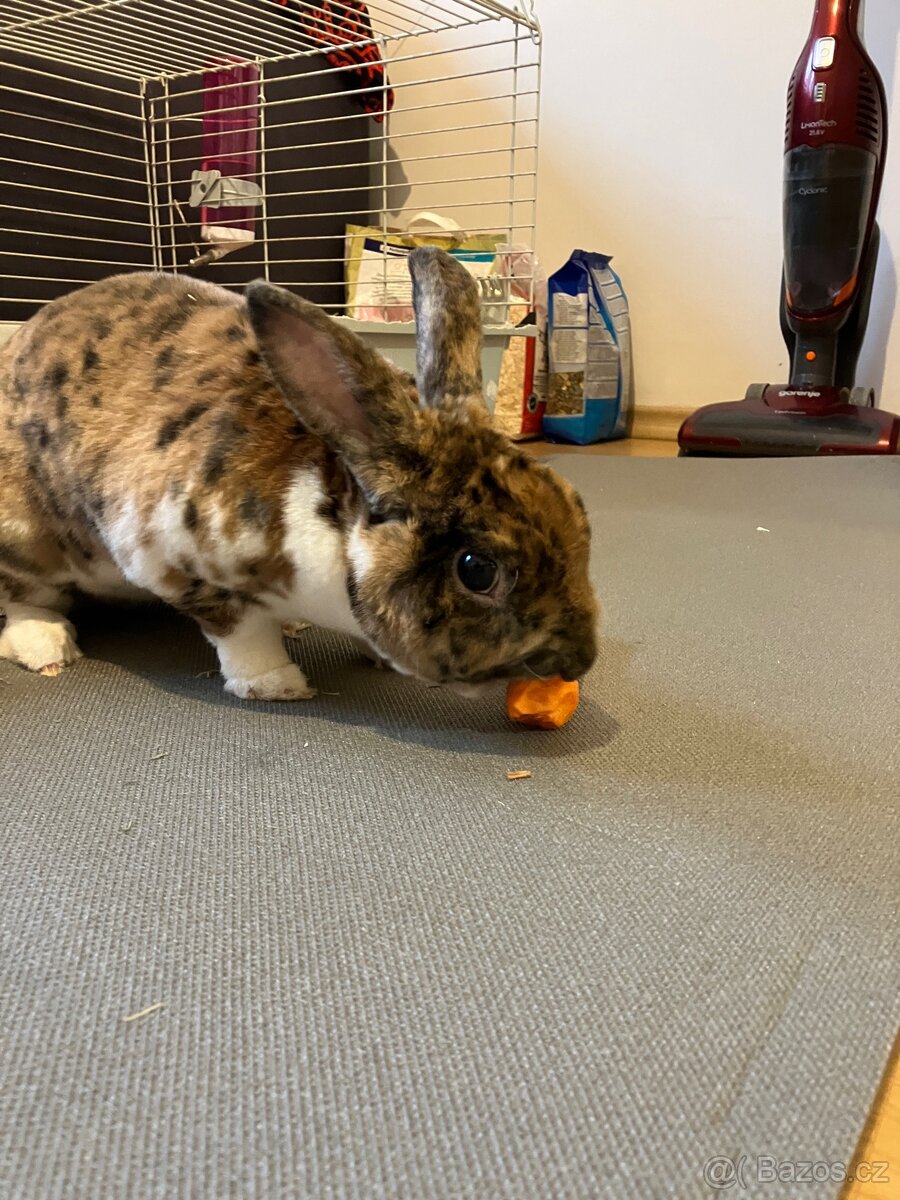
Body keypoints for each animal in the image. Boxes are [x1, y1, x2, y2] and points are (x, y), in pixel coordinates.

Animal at [0, 247, 598, 700]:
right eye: (477, 571)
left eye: (578, 508)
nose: (581, 660)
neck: (337, 528)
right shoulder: (178, 562)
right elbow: (239, 633)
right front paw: (277, 684)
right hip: (26, 540)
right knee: (24, 599)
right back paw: (47, 646)